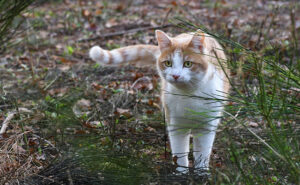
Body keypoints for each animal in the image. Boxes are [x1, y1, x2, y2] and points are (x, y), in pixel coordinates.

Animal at [89, 29, 230, 173]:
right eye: (168, 63)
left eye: (188, 64)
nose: (175, 75)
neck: (189, 94)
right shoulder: (176, 124)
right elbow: (179, 152)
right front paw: (181, 173)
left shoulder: (206, 127)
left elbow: (203, 153)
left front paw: (201, 173)